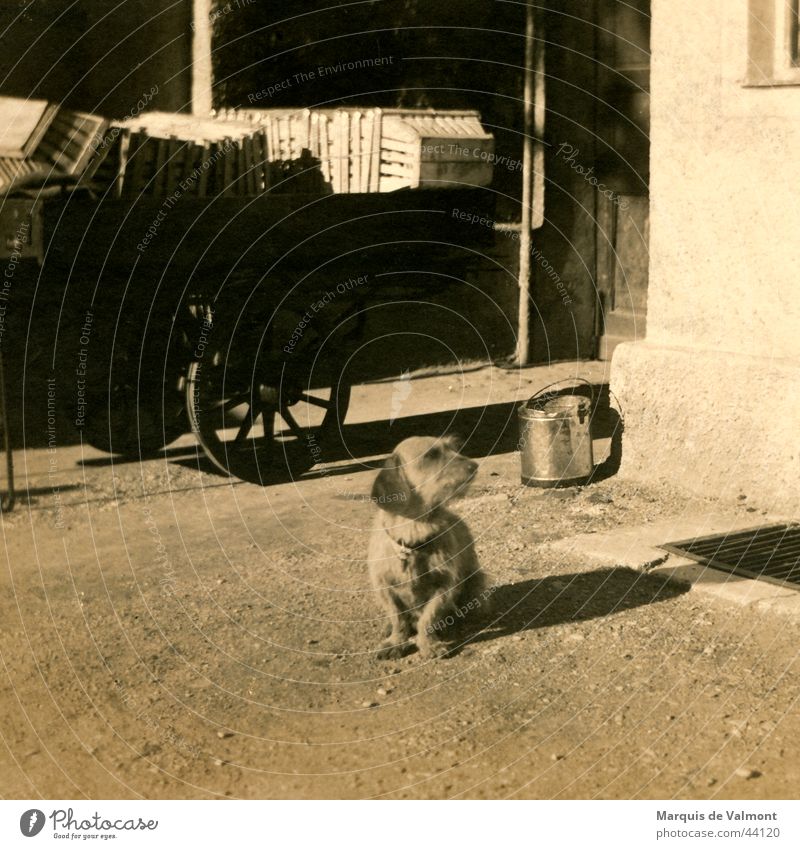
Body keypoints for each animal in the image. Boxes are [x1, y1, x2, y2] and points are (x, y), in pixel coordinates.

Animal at [368, 434, 488, 660]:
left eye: (453, 448)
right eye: (431, 455)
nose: (474, 466)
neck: (412, 535)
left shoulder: (444, 586)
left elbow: (428, 619)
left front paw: (428, 644)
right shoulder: (384, 587)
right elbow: (397, 618)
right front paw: (395, 641)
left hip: (476, 580)